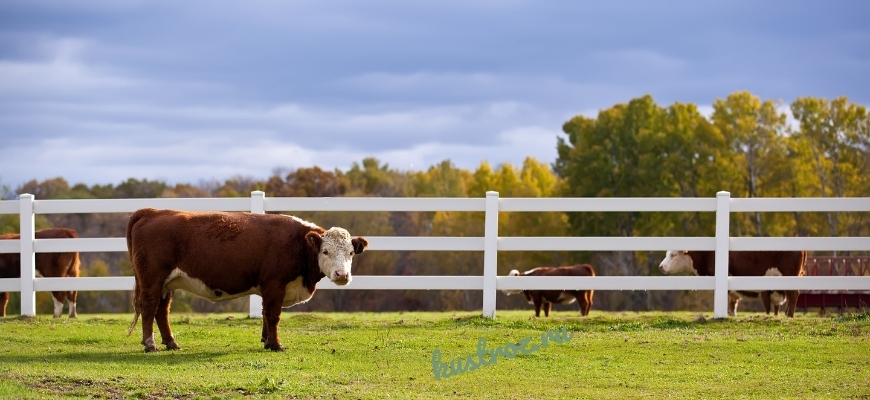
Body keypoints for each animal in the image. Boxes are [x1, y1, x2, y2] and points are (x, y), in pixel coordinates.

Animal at [125, 208, 368, 352]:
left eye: (351, 253)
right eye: (325, 251)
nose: (342, 275)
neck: (297, 243)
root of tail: (153, 211)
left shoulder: (268, 288)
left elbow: (265, 315)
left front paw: (266, 341)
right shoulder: (274, 284)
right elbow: (273, 315)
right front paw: (276, 344)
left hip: (167, 283)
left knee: (161, 310)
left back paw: (171, 342)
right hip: (152, 279)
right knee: (149, 307)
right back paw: (150, 344)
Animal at [660, 250, 812, 318]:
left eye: (673, 254)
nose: (661, 266)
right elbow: (733, 303)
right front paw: (732, 314)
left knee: (793, 295)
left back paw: (789, 315)